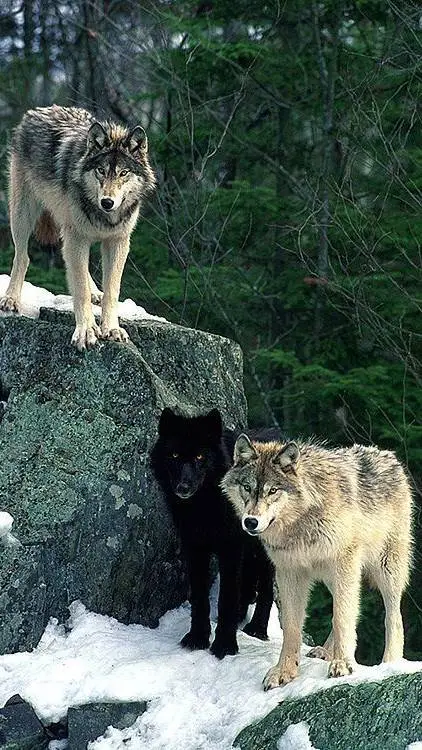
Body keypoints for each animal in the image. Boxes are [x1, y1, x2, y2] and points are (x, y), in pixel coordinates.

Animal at [1, 105, 156, 350]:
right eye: (101, 170)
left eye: (123, 173)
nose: (107, 202)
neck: (103, 216)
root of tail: (38, 111)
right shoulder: (76, 237)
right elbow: (80, 289)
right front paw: (86, 331)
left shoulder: (117, 241)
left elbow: (111, 290)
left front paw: (111, 328)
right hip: (22, 214)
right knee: (22, 257)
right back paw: (11, 298)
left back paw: (96, 293)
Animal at [150, 408, 275, 658]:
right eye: (175, 455)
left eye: (200, 457)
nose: (183, 487)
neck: (204, 507)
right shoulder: (195, 548)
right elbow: (200, 597)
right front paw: (197, 638)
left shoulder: (230, 548)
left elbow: (226, 597)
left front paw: (225, 645)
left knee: (267, 586)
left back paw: (257, 629)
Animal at [221, 435, 412, 688]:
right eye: (247, 487)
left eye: (273, 490)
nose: (251, 522)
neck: (301, 522)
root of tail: (389, 456)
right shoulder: (289, 572)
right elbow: (292, 628)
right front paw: (285, 671)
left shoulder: (344, 563)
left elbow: (342, 617)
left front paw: (343, 664)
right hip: (334, 577)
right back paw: (326, 651)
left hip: (386, 569)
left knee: (393, 615)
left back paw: (390, 663)